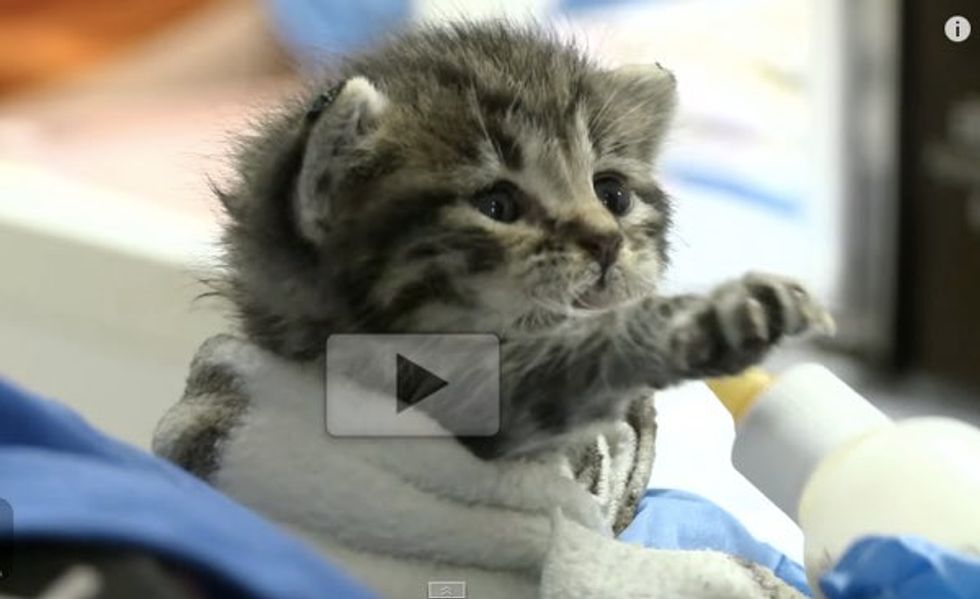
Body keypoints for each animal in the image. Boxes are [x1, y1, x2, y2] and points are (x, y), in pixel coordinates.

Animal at [214, 19, 836, 460]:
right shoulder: (453, 406)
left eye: (612, 194)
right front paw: (710, 316)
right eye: (497, 206)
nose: (606, 241)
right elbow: (572, 366)